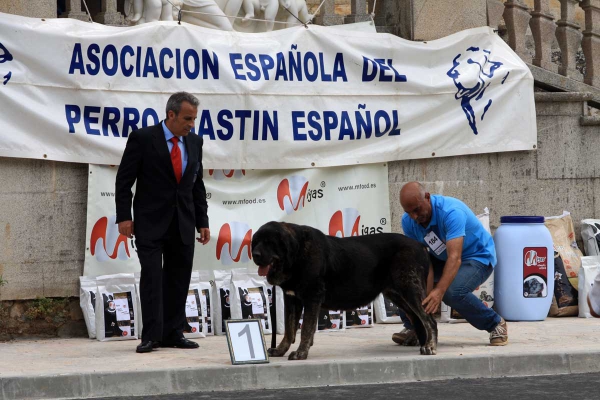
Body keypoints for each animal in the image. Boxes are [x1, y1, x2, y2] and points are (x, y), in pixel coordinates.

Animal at [248, 220, 436, 360]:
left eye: (269, 243)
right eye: (256, 242)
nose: (255, 255)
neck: (297, 253)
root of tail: (420, 245)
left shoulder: (312, 296)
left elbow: (306, 328)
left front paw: (301, 353)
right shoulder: (292, 299)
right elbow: (289, 329)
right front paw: (281, 350)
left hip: (410, 289)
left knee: (428, 319)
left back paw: (429, 346)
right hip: (398, 295)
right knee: (418, 319)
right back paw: (421, 343)